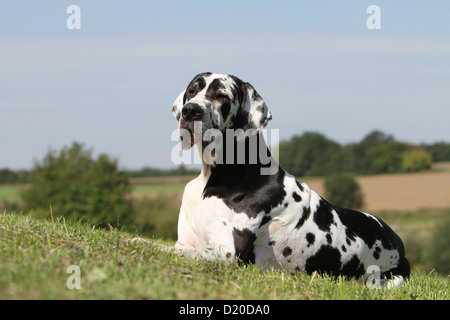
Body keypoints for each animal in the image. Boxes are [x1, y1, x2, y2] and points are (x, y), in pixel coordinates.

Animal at [169, 72, 408, 288]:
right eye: (192, 91)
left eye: (222, 96)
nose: (190, 110)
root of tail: (400, 246)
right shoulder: (186, 241)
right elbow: (175, 248)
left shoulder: (225, 252)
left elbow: (167, 249)